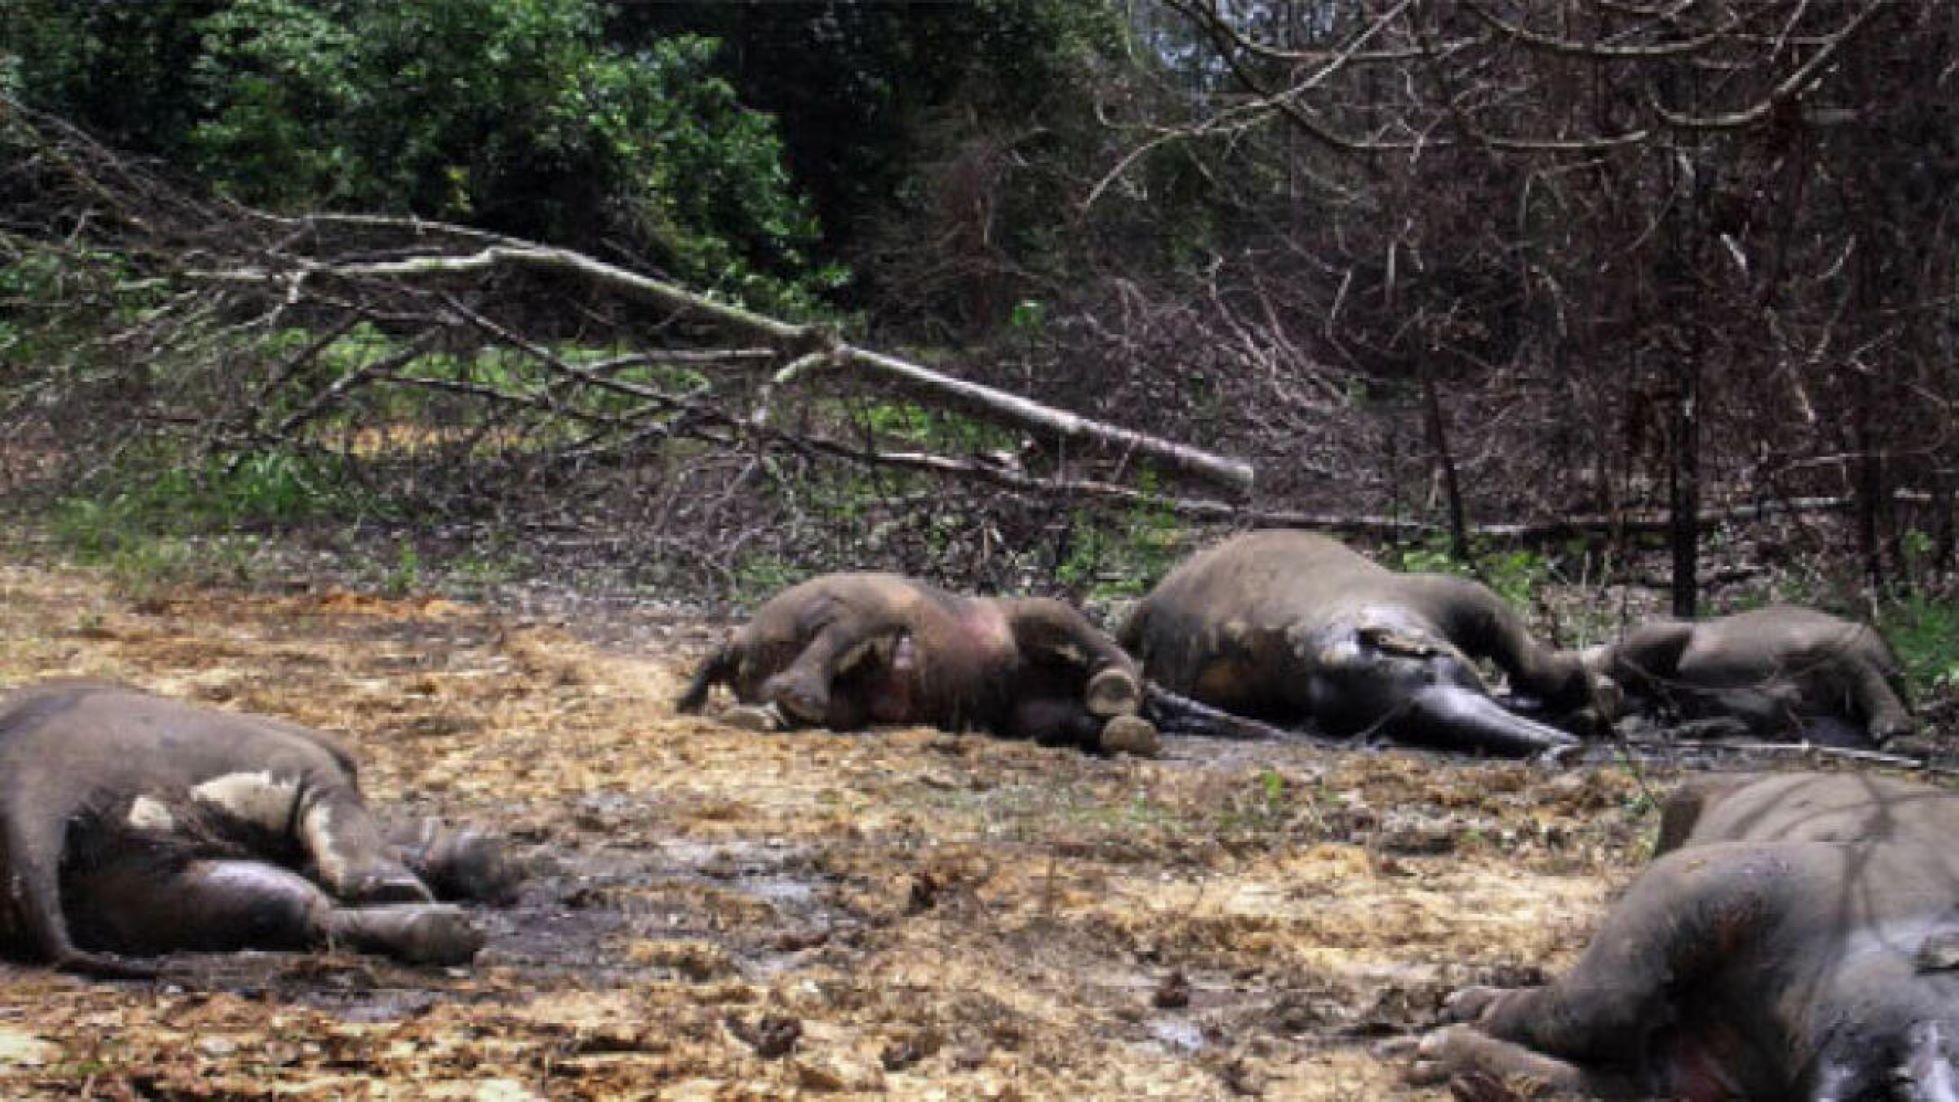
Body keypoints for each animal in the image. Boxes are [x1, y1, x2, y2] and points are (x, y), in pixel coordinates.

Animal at [0, 685, 521, 978]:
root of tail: (31, 788)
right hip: (259, 754)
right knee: (330, 848)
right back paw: (424, 903)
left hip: (140, 886)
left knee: (295, 908)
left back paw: (446, 929)